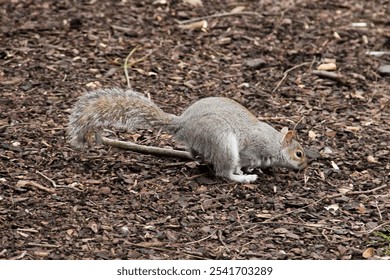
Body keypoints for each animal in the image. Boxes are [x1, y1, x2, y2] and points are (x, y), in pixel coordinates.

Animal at [68, 88, 308, 184]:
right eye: (299, 153)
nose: (305, 166)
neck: (275, 143)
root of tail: (184, 125)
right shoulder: (254, 147)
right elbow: (244, 159)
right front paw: (245, 171)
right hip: (222, 140)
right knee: (223, 172)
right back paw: (241, 178)